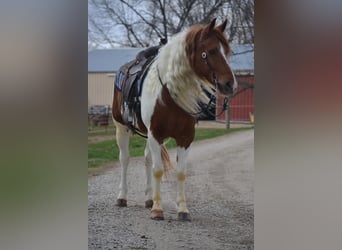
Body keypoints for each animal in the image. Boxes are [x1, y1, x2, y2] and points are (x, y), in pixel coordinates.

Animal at [112, 17, 238, 221]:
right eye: (211, 50)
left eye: (227, 52)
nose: (230, 85)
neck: (169, 94)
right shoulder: (156, 134)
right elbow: (158, 170)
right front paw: (157, 210)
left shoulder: (185, 138)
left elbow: (180, 172)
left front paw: (182, 210)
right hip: (121, 128)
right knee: (125, 159)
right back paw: (122, 197)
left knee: (146, 159)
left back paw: (148, 199)